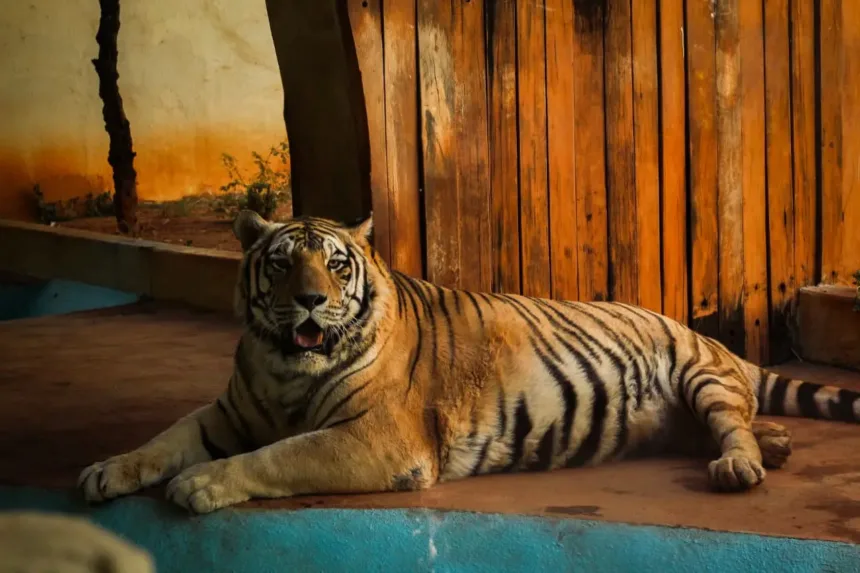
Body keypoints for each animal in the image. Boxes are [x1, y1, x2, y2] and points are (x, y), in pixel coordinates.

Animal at [78, 210, 860, 514]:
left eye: (334, 264)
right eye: (280, 263)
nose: (308, 301)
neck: (284, 370)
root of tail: (707, 336)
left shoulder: (377, 438)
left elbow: (280, 455)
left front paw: (201, 485)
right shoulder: (227, 413)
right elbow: (162, 441)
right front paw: (104, 471)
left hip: (699, 375)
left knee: (732, 425)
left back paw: (745, 464)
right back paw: (777, 445)